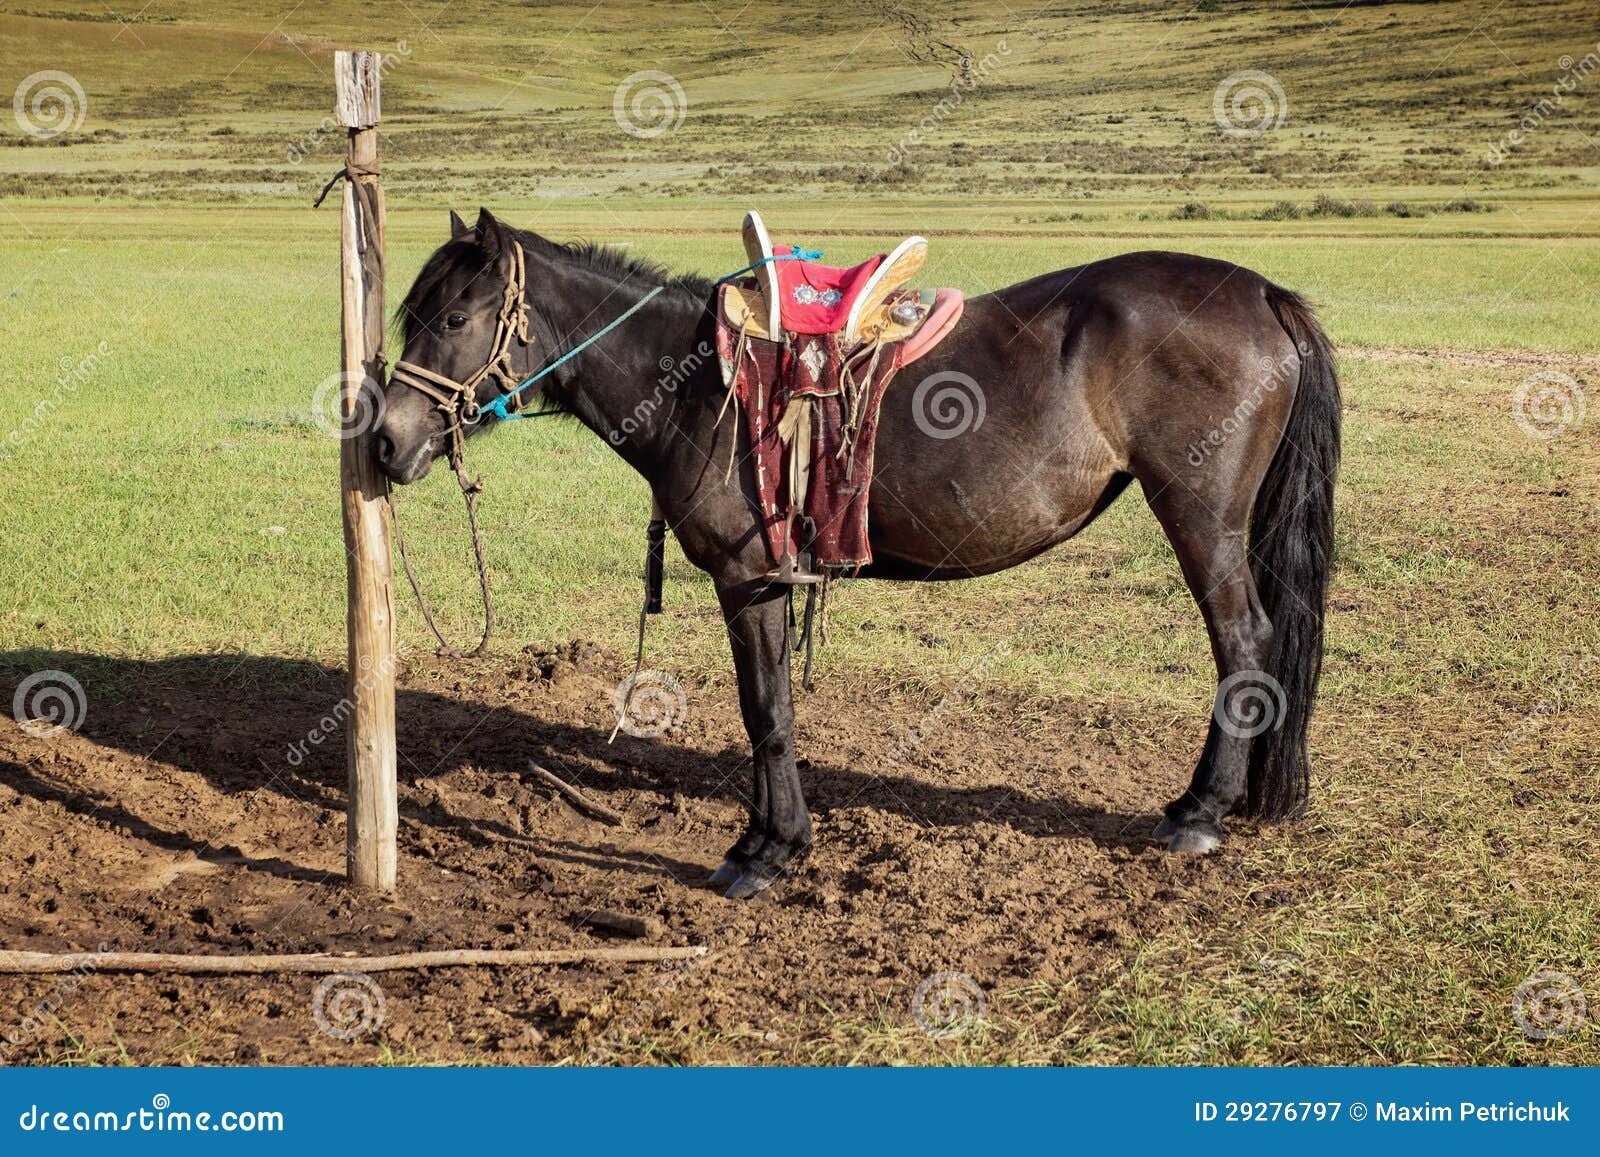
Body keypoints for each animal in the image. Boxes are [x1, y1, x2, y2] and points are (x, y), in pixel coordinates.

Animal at [376, 208, 1340, 900]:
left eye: (454, 316)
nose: (384, 441)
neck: (696, 386)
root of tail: (1262, 293)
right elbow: (771, 709)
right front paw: (777, 838)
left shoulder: (749, 579)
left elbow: (766, 711)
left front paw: (764, 851)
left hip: (1201, 517)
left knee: (1244, 642)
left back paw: (1199, 812)